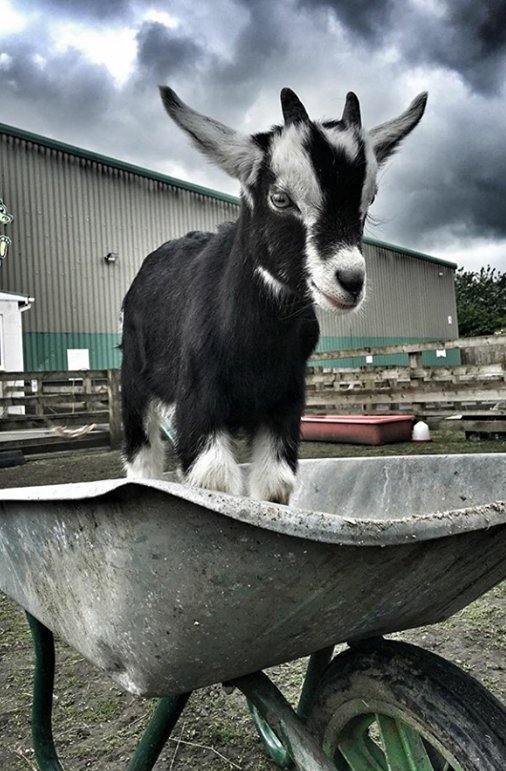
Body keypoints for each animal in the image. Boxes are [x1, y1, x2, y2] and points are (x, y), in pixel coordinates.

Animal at [121, 86, 427, 503]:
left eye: (371, 199)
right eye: (280, 199)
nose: (350, 280)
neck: (255, 348)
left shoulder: (284, 405)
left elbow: (273, 486)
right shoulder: (199, 405)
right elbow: (216, 484)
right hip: (135, 383)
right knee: (143, 458)